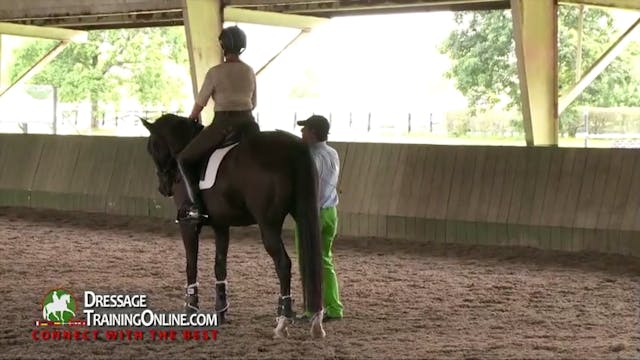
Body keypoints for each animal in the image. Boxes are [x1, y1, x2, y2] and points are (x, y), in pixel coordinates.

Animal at [143, 114, 328, 338]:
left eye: (152, 146)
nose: (163, 188)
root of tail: (292, 147)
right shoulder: (221, 225)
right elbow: (220, 266)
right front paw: (221, 311)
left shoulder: (188, 226)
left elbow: (191, 265)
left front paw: (191, 309)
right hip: (302, 214)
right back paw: (313, 321)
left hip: (268, 224)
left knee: (283, 264)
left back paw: (283, 321)